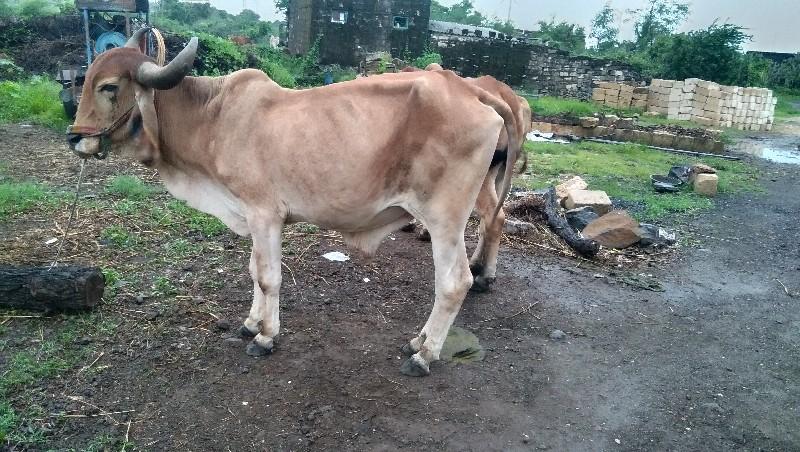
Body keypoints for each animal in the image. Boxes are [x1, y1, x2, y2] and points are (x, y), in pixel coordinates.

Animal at [401, 64, 532, 291]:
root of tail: (509, 96)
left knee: (495, 217)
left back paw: (484, 276)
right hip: (501, 174)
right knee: (488, 219)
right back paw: (478, 264)